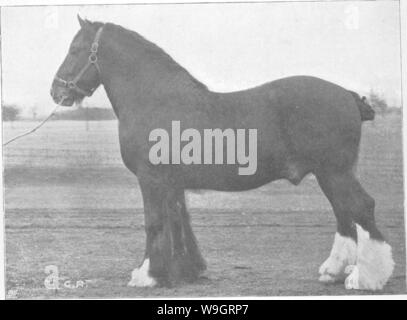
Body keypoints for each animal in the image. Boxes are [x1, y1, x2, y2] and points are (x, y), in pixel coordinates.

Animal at [51, 18, 396, 292]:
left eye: (75, 50)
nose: (56, 92)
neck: (155, 98)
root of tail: (347, 96)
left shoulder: (151, 180)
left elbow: (155, 222)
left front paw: (146, 275)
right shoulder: (171, 183)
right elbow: (178, 220)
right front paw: (186, 272)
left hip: (334, 172)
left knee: (360, 207)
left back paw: (367, 278)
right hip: (331, 174)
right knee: (344, 214)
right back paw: (334, 271)